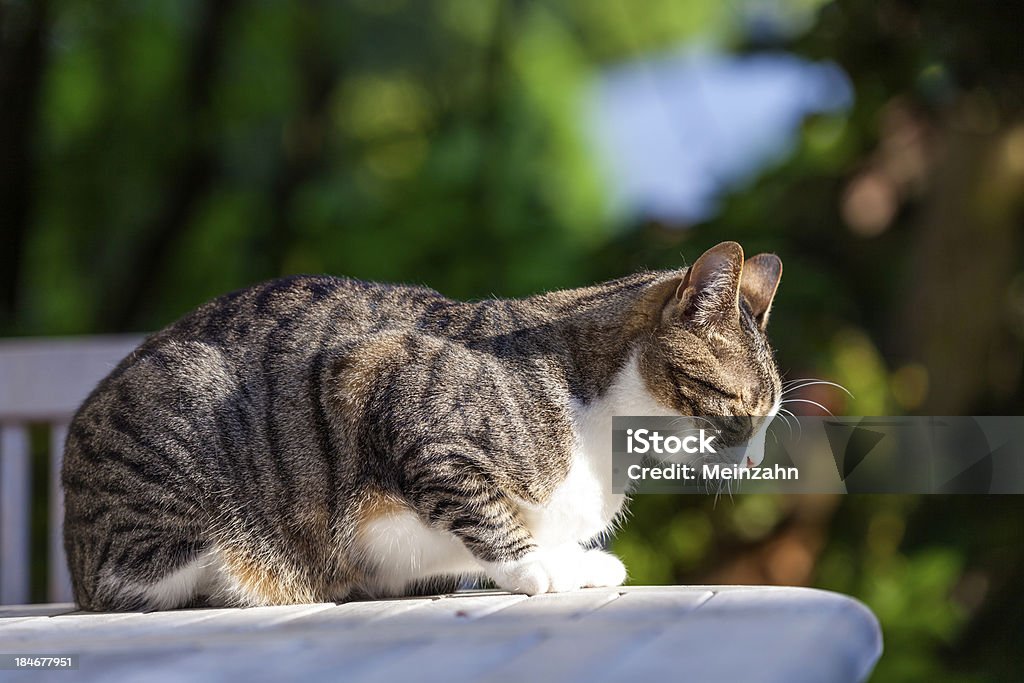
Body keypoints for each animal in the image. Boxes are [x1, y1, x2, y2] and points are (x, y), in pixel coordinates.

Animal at [61, 240, 782, 610]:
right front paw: (533, 566)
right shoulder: (384, 386)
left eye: (770, 418)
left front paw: (577, 560)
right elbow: (480, 511)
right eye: (741, 409)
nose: (754, 462)